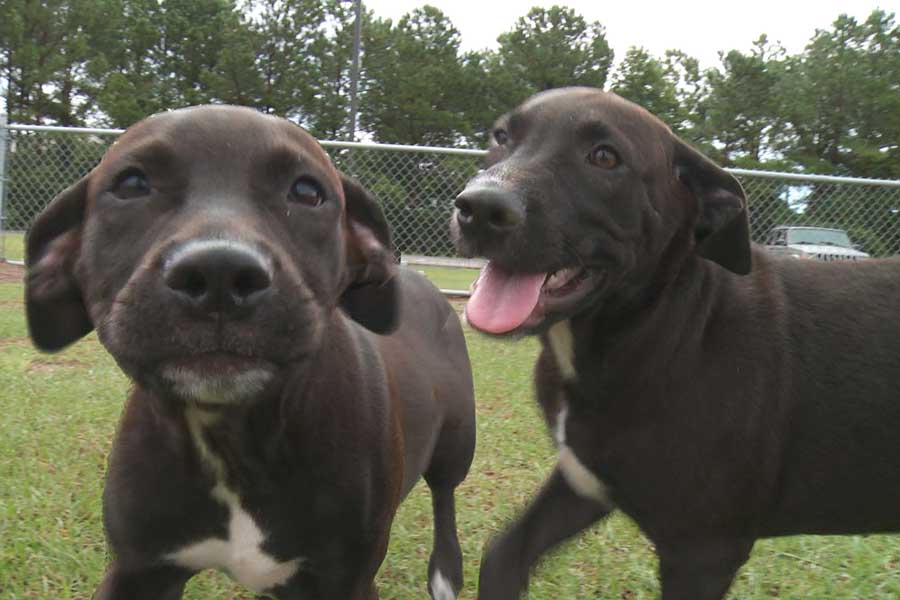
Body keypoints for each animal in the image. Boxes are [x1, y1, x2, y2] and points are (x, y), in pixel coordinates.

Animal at [24, 105, 478, 596]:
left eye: (307, 191)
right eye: (131, 184)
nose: (218, 273)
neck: (234, 437)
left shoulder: (346, 580)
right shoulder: (138, 569)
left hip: (457, 442)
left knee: (445, 495)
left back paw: (445, 571)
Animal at [450, 85, 900, 600]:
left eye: (605, 157)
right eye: (502, 137)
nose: (480, 208)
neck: (661, 327)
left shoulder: (702, 548)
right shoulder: (586, 479)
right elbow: (503, 555)